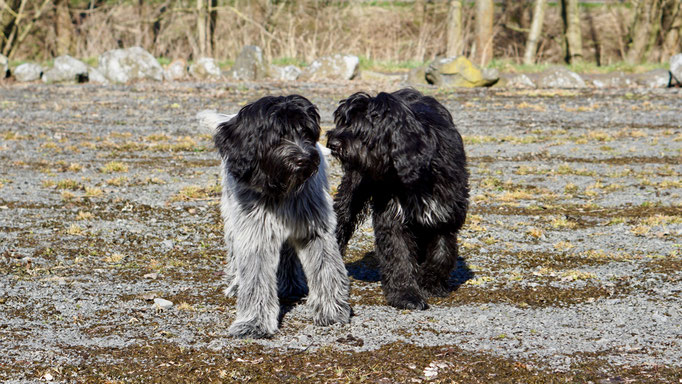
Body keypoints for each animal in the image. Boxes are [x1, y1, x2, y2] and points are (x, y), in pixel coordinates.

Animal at [194, 94, 348, 338]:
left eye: (307, 133)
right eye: (278, 135)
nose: (305, 159)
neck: (279, 188)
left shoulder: (315, 230)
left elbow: (326, 269)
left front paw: (331, 311)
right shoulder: (255, 234)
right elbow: (255, 279)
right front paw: (254, 323)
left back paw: (290, 284)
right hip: (233, 221)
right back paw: (236, 284)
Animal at [326, 88, 468, 310]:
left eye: (362, 128)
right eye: (343, 122)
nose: (332, 142)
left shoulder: (446, 213)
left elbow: (442, 253)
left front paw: (431, 284)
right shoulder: (392, 216)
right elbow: (399, 256)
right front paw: (406, 294)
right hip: (352, 191)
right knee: (342, 219)